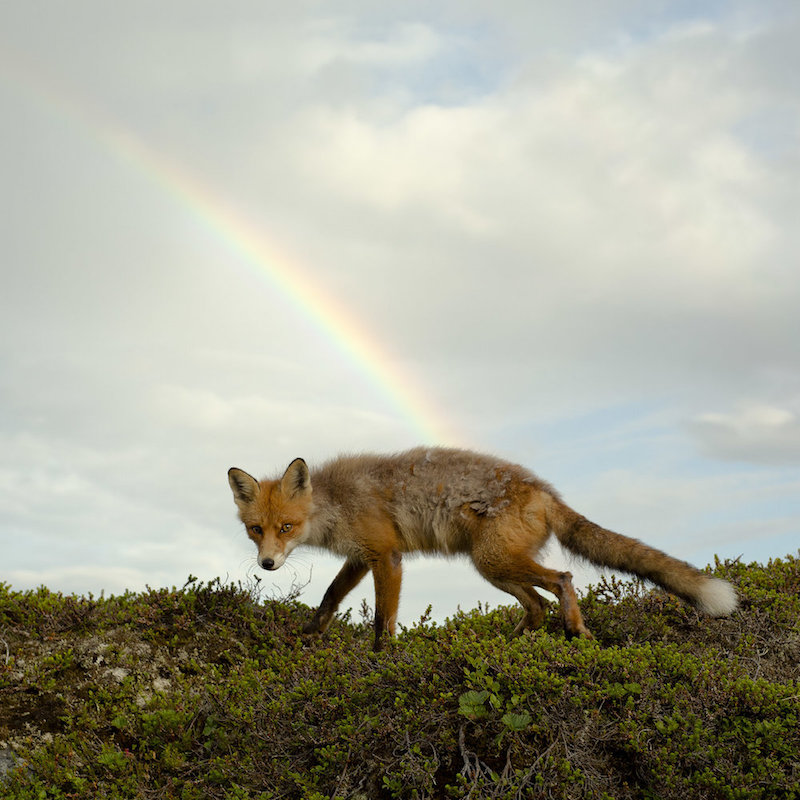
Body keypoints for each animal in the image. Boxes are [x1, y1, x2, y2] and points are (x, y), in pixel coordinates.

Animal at [227, 446, 736, 648]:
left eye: (286, 527)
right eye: (256, 530)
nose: (267, 564)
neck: (336, 505)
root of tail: (544, 490)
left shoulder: (386, 556)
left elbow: (382, 622)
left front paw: (381, 660)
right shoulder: (359, 557)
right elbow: (329, 600)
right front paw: (308, 637)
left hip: (493, 561)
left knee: (563, 580)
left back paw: (576, 631)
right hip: (494, 568)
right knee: (535, 606)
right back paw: (503, 646)